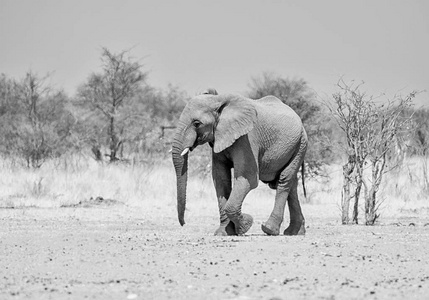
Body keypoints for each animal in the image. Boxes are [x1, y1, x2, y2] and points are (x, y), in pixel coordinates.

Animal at [171, 89, 308, 237]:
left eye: (197, 123)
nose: (183, 223)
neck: (218, 100)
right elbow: (220, 180)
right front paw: (223, 233)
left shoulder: (247, 138)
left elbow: (248, 178)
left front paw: (246, 225)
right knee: (291, 185)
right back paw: (294, 232)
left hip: (300, 144)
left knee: (284, 180)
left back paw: (269, 229)